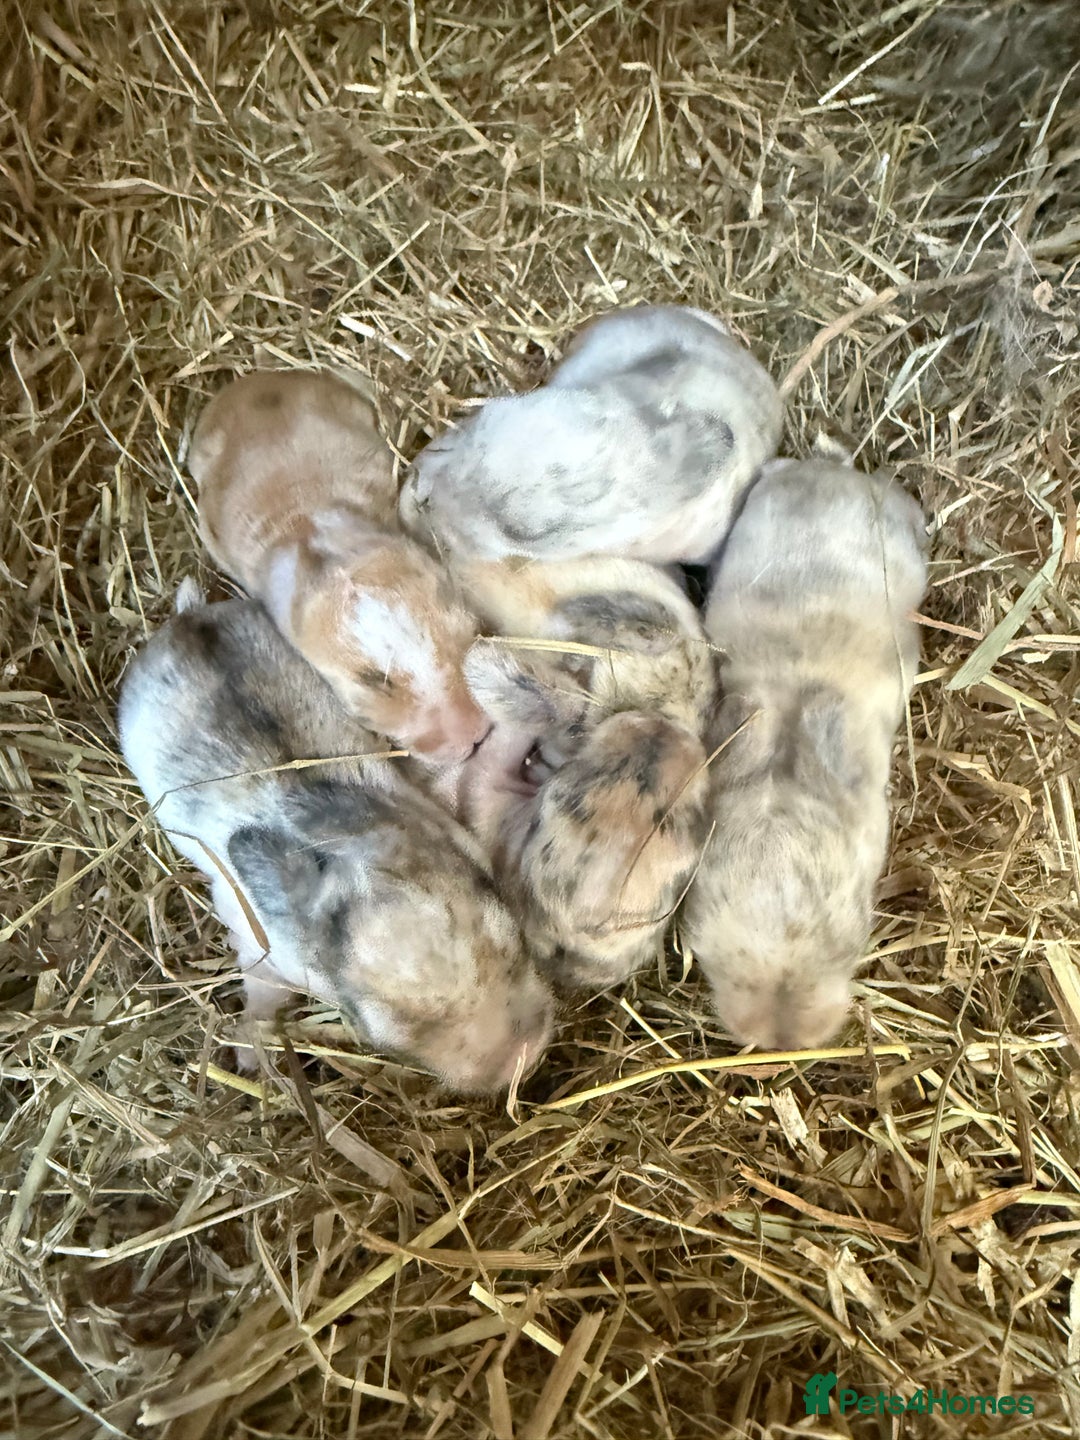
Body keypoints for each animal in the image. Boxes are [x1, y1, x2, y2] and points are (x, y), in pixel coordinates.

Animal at [117, 591, 555, 1094]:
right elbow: (260, 986)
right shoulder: (253, 937)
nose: (524, 1055)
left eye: (511, 940)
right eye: (386, 1028)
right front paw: (248, 1060)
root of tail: (186, 617)